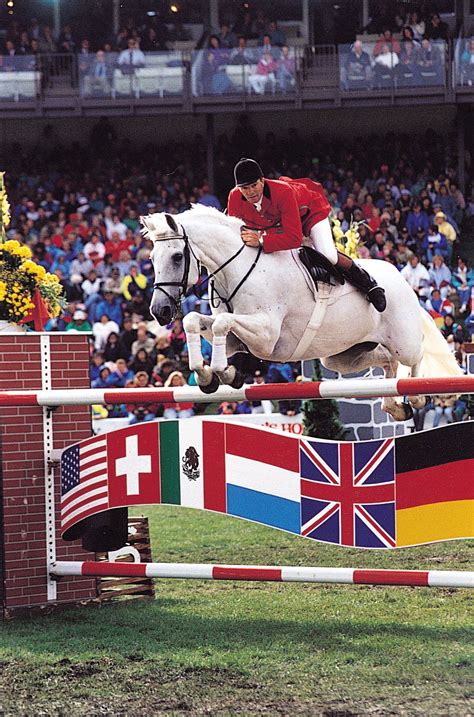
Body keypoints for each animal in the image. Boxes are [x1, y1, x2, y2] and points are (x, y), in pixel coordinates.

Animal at [140, 203, 460, 420]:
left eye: (177, 256)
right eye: (152, 258)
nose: (160, 311)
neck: (236, 269)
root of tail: (403, 282)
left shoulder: (266, 335)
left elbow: (222, 323)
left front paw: (221, 372)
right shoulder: (238, 340)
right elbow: (195, 320)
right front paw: (210, 375)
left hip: (403, 341)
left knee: (415, 357)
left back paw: (415, 398)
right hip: (342, 356)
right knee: (386, 361)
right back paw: (394, 404)